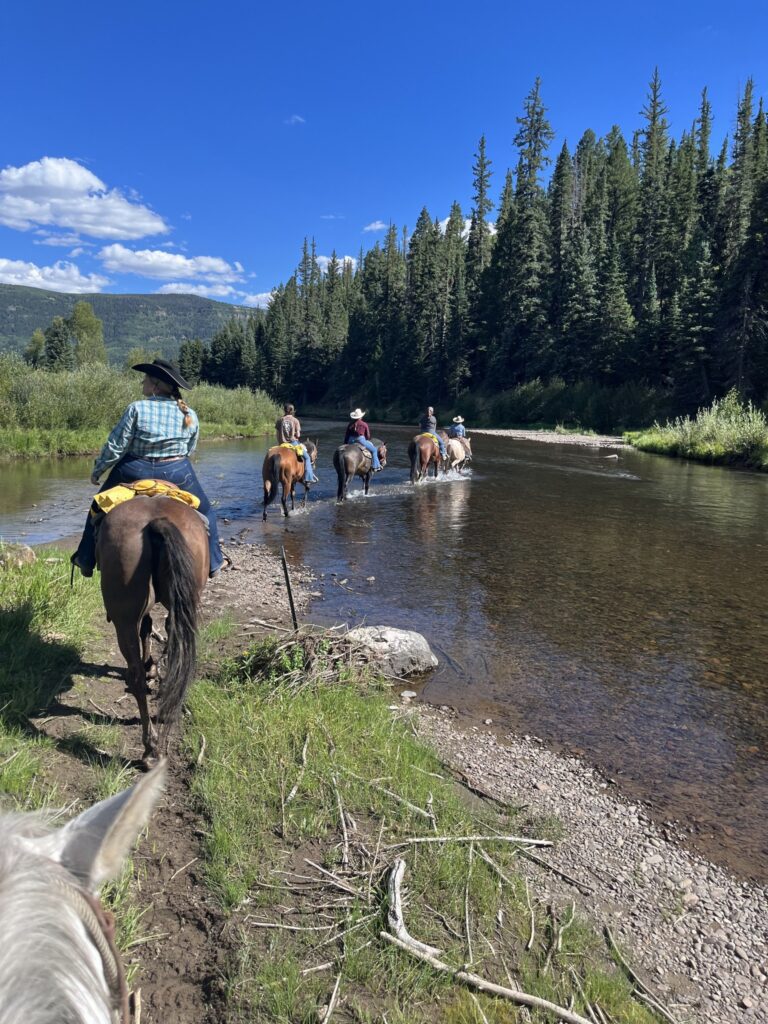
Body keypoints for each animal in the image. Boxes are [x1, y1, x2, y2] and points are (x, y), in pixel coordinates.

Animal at [95, 491, 208, 765]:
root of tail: (154, 522)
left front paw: (150, 666)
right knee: (176, 652)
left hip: (124, 617)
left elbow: (146, 627)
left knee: (136, 674)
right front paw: (154, 667)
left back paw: (150, 746)